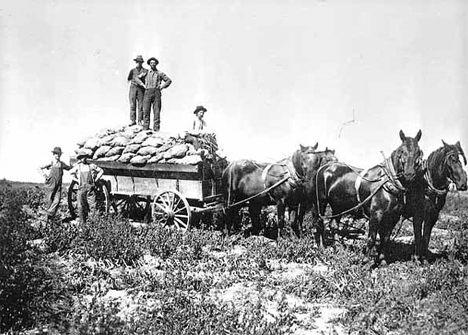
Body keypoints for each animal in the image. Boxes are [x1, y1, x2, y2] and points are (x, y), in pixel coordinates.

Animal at [314, 130, 424, 264]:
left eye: (418, 152)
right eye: (401, 151)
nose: (409, 174)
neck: (388, 182)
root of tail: (324, 167)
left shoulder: (393, 217)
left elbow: (385, 239)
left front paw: (382, 260)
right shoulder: (376, 214)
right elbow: (372, 238)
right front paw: (366, 260)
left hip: (338, 206)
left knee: (333, 225)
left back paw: (338, 249)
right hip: (321, 202)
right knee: (320, 222)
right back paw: (321, 247)